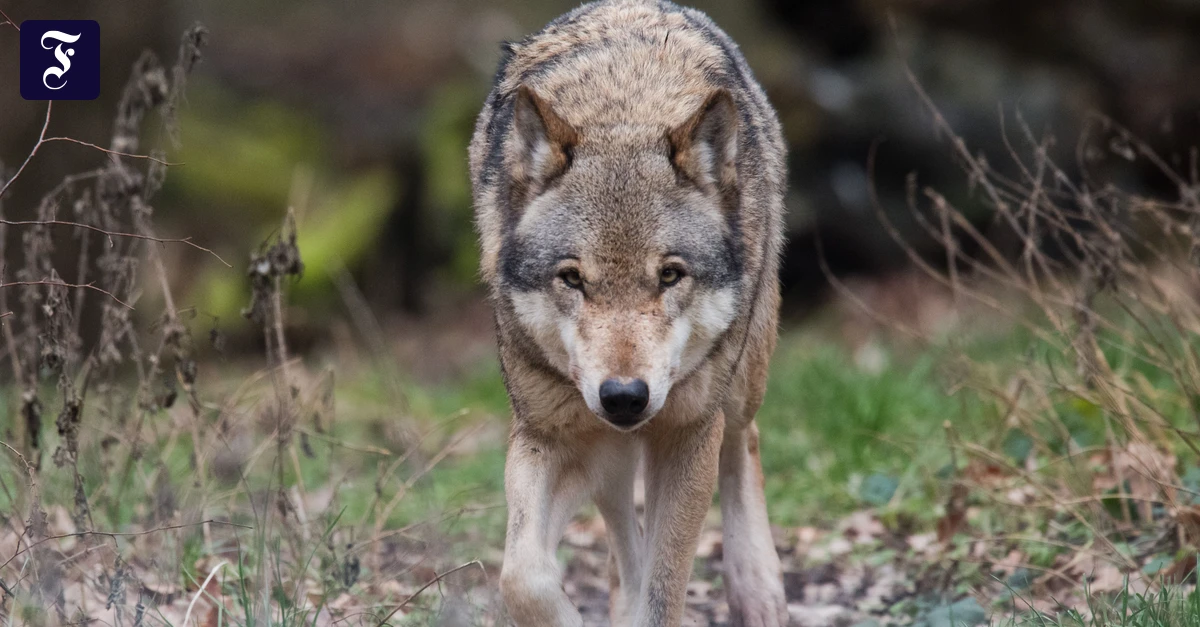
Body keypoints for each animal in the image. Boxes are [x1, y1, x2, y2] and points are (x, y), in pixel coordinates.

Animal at [469, 0, 788, 625]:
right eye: (572, 278)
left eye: (669, 275)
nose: (623, 396)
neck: (624, 113)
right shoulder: (550, 434)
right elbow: (522, 575)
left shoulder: (688, 434)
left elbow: (663, 594)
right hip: (607, 454)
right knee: (622, 536)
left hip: (739, 383)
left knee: (745, 441)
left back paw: (759, 591)